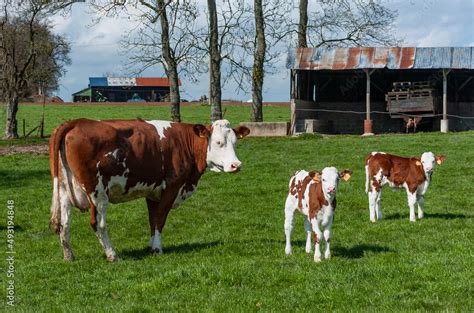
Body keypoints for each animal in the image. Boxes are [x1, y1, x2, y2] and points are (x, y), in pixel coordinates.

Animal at [49, 118, 250, 260]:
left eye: (235, 142)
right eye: (218, 142)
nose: (236, 165)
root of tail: (77, 122)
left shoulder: (153, 192)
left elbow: (152, 220)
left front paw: (151, 245)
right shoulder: (172, 187)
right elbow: (160, 218)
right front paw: (157, 248)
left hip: (64, 190)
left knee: (64, 224)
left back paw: (69, 256)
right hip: (98, 193)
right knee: (97, 223)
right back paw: (112, 254)